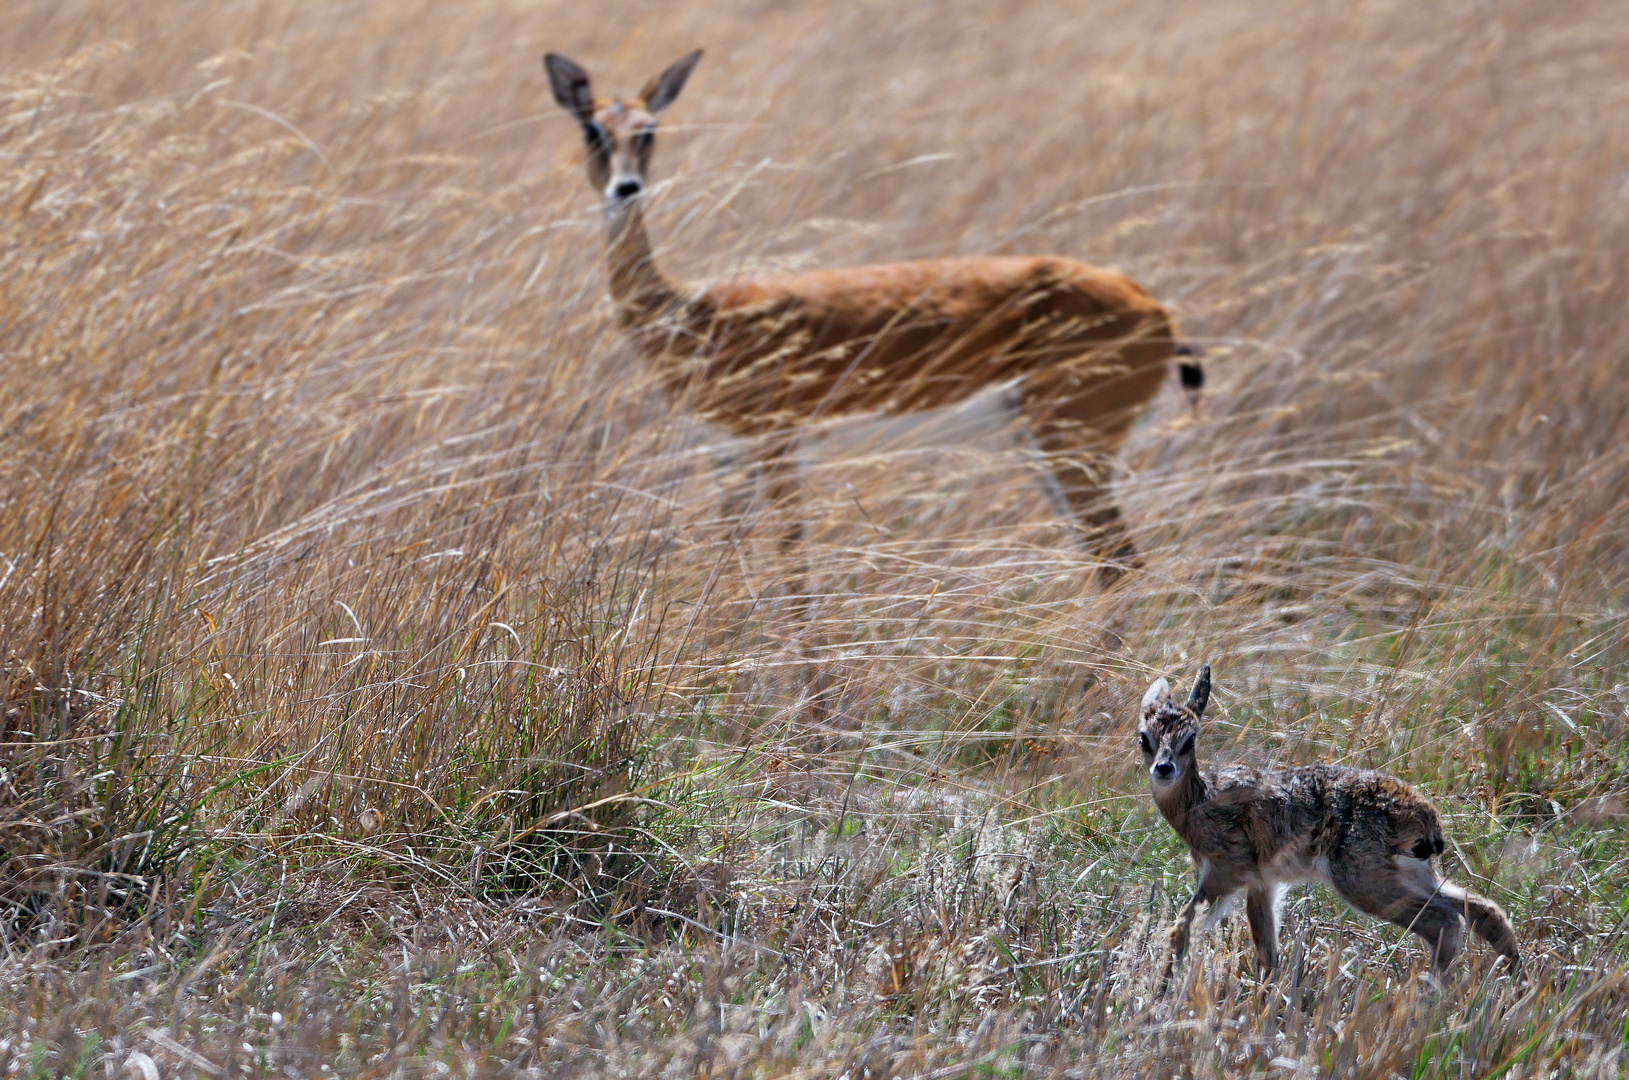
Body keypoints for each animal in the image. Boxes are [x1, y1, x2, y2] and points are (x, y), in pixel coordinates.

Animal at [544, 50, 1198, 579]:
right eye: (591, 128)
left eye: (648, 129)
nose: (626, 189)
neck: (692, 314)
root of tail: (1156, 310)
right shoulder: (728, 456)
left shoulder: (777, 446)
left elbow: (793, 572)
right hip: (1043, 447)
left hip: (1072, 445)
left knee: (1120, 562)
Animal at [1140, 671, 1518, 990]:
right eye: (1144, 738)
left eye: (1190, 740)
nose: (1164, 768)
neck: (1199, 799)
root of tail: (1425, 818)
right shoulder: (1263, 884)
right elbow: (1267, 948)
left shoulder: (1224, 872)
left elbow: (1181, 929)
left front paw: (1160, 993)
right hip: (1409, 874)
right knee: (1483, 909)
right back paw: (1514, 979)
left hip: (1363, 882)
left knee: (1446, 923)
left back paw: (1430, 998)